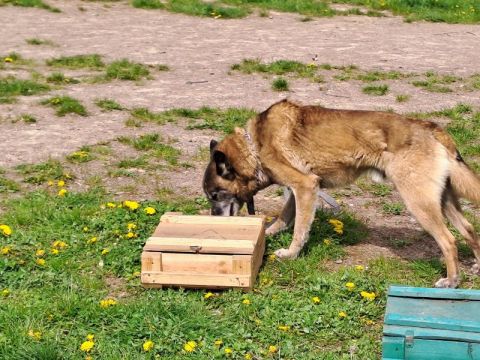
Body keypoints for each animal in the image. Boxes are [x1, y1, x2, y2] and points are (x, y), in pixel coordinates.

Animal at [202, 100, 480, 288]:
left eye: (214, 196)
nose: (213, 219)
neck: (254, 146)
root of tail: (432, 128)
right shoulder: (297, 190)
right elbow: (284, 218)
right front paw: (268, 233)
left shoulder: (306, 186)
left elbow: (300, 230)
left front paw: (291, 254)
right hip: (443, 201)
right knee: (469, 230)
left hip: (419, 203)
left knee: (449, 240)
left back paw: (452, 280)